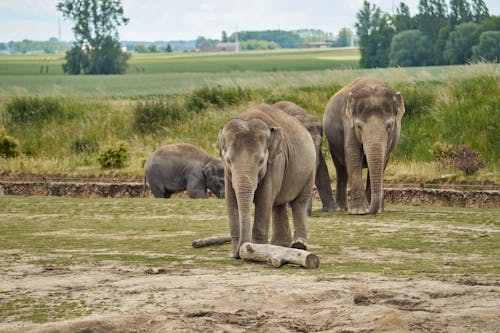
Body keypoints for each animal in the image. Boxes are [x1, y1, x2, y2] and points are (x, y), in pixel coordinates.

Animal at [216, 103, 316, 256]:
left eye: (261, 161)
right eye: (228, 161)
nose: (237, 253)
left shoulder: (276, 160)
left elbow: (264, 198)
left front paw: (255, 249)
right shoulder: (227, 173)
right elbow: (231, 199)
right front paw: (235, 252)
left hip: (310, 168)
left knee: (299, 203)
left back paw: (298, 245)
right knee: (278, 204)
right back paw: (280, 245)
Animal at [322, 77, 404, 214]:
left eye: (389, 125)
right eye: (359, 126)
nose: (370, 211)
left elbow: (383, 159)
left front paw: (376, 209)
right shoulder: (348, 123)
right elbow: (353, 155)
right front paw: (359, 211)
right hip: (332, 143)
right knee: (340, 169)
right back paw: (343, 208)